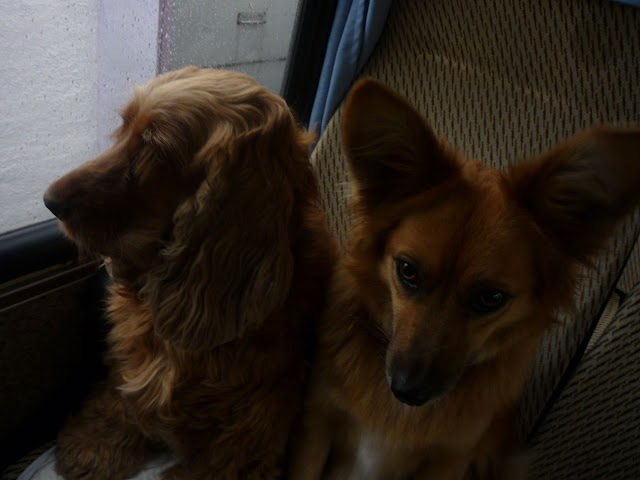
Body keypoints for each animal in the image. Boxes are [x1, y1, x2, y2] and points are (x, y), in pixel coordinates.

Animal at [43, 66, 336, 480]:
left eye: (154, 147)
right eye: (125, 127)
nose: (49, 201)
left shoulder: (246, 444)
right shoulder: (133, 364)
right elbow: (122, 395)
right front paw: (94, 443)